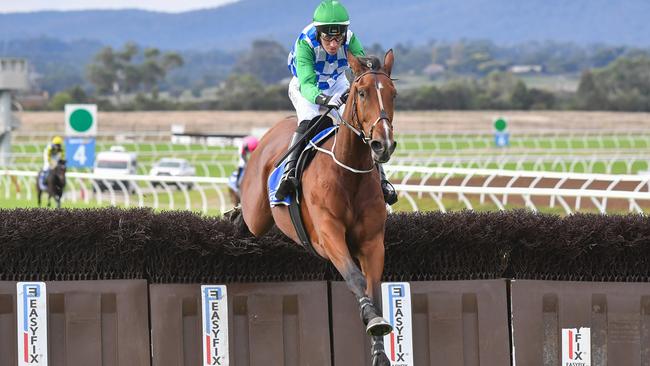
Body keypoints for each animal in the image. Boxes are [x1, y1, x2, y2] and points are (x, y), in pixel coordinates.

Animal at [239, 50, 394, 364]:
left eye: (393, 94)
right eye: (362, 93)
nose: (383, 144)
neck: (348, 173)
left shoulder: (372, 242)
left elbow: (374, 289)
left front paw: (379, 348)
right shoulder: (328, 235)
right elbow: (355, 278)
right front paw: (371, 319)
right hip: (257, 215)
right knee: (244, 217)